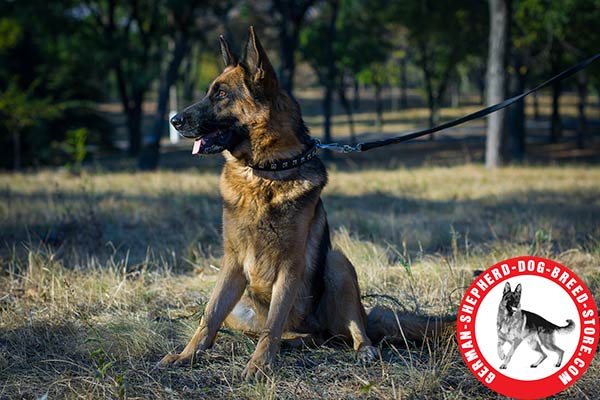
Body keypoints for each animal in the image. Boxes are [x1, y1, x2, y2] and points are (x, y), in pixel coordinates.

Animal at [162, 27, 452, 378]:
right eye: (210, 92)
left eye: (220, 94)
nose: (174, 121)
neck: (265, 172)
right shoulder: (231, 262)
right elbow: (209, 316)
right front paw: (187, 355)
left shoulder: (290, 265)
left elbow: (272, 324)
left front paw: (259, 364)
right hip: (243, 305)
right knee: (283, 331)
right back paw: (289, 342)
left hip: (338, 265)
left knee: (346, 330)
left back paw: (361, 349)